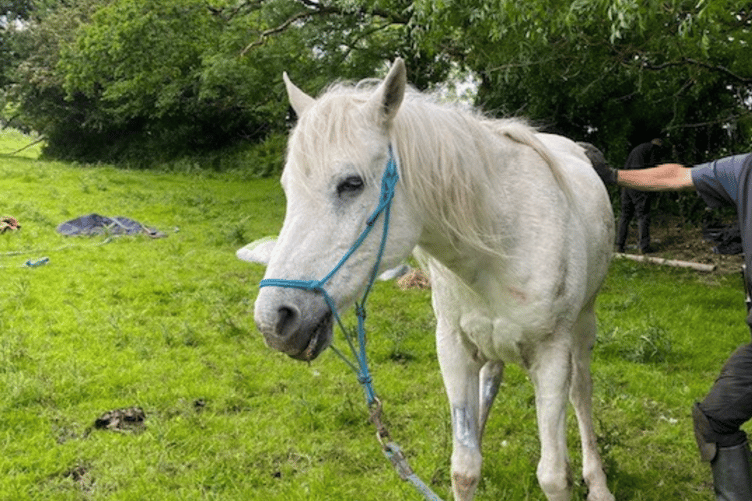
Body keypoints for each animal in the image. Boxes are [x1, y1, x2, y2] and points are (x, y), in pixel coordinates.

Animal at [253, 58, 615, 501]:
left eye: (352, 184)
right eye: (288, 188)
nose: (274, 320)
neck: (502, 242)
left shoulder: (552, 357)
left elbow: (553, 475)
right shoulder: (454, 348)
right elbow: (465, 468)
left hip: (582, 328)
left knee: (582, 392)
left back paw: (597, 482)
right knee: (491, 379)